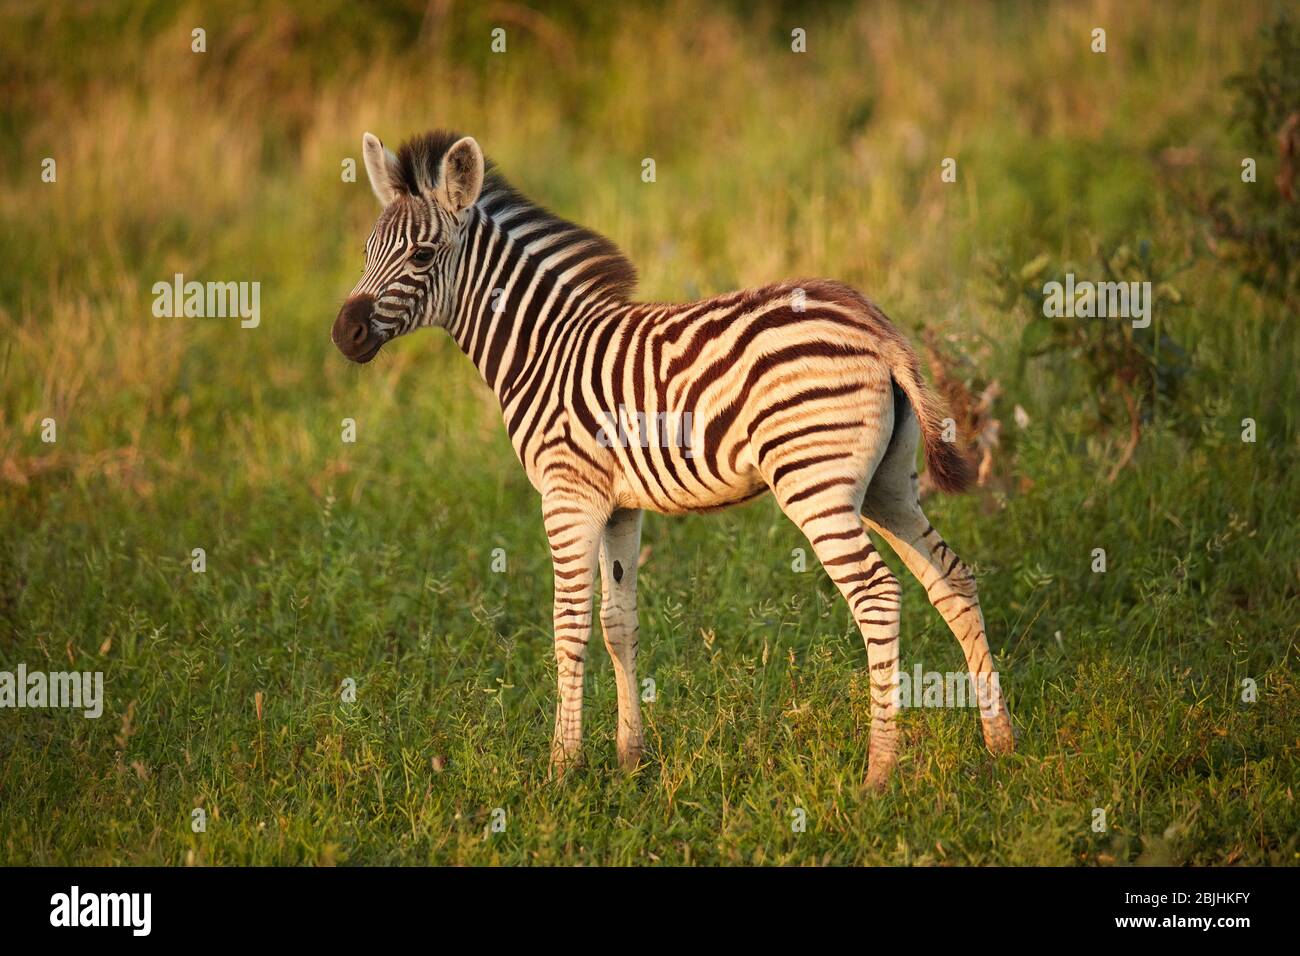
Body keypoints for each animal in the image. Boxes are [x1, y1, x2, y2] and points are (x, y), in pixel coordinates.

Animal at [332, 130, 1013, 790]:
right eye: (365, 251)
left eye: (422, 257)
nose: (344, 334)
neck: (542, 348)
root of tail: (878, 328)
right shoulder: (619, 506)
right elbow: (618, 622)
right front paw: (630, 759)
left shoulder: (567, 495)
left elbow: (569, 626)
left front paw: (561, 769)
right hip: (885, 485)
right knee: (952, 577)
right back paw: (999, 744)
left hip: (814, 483)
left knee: (877, 595)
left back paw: (877, 775)